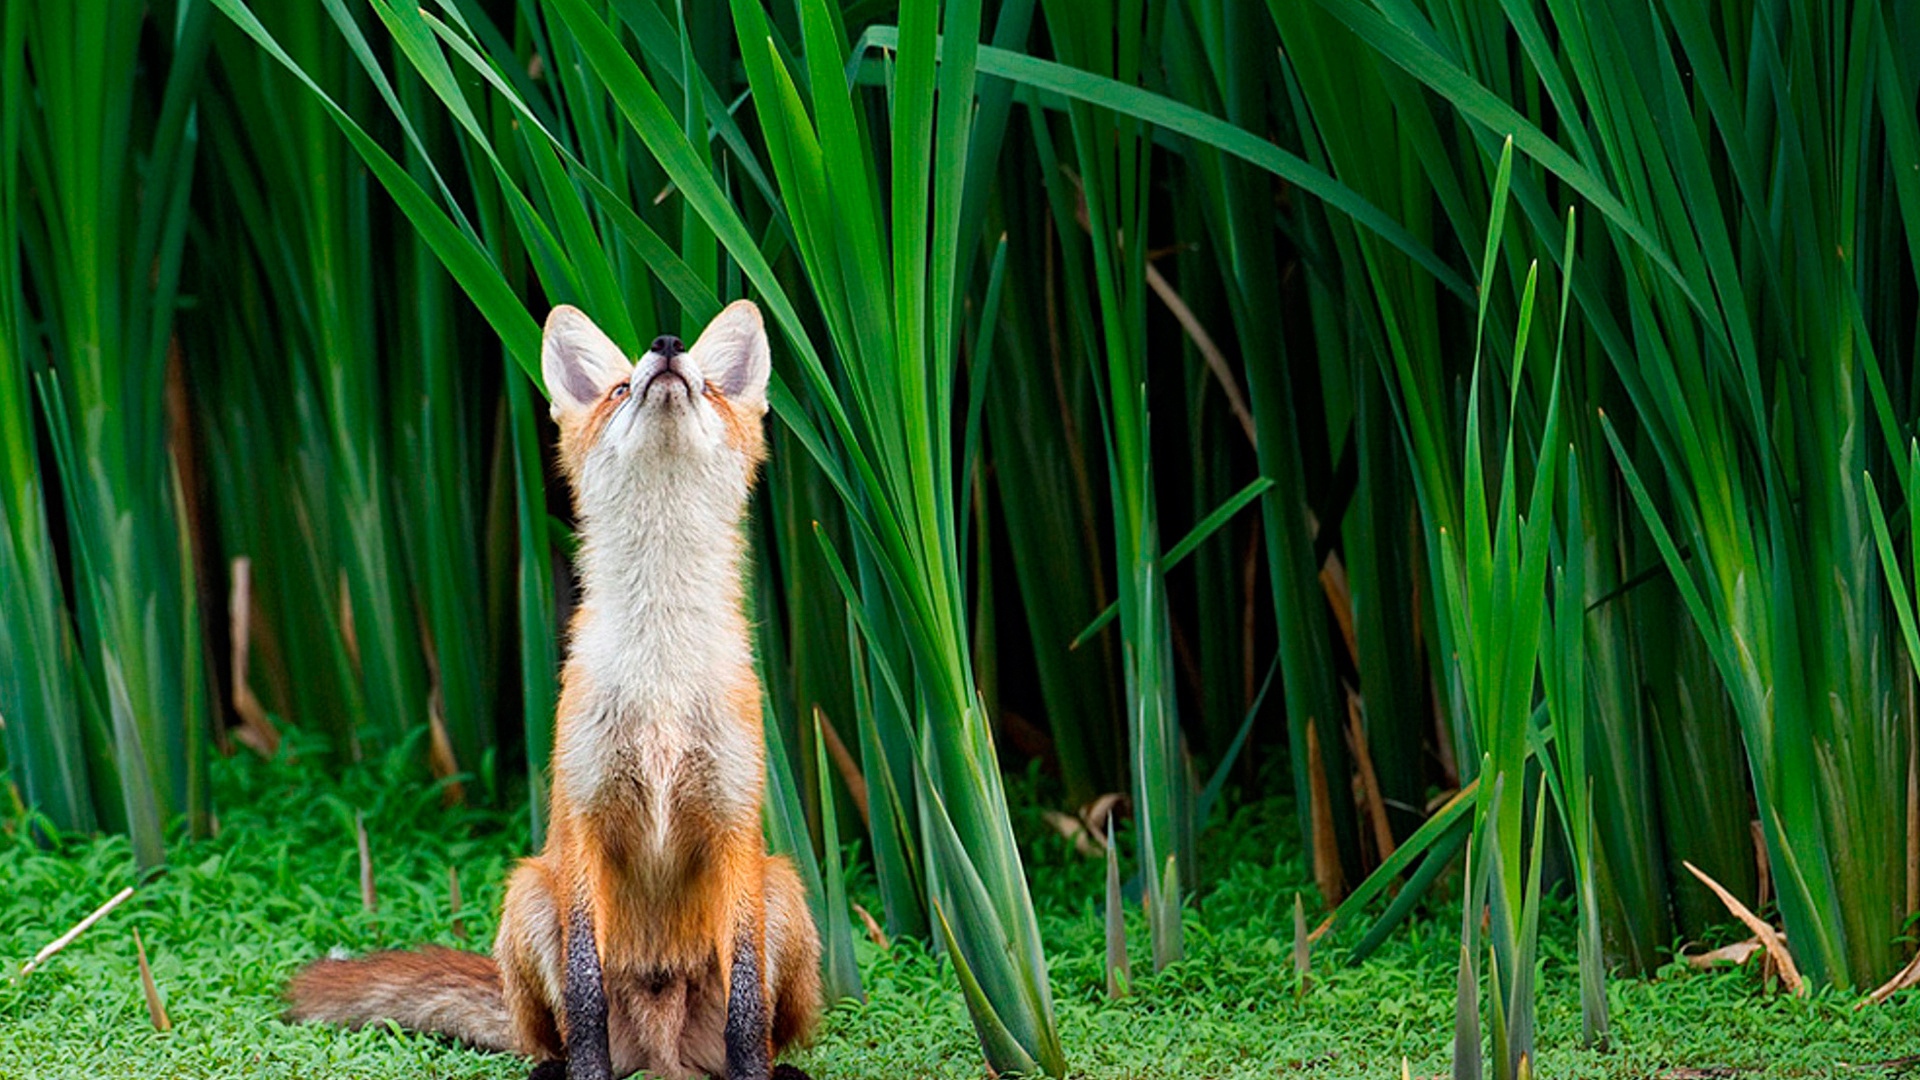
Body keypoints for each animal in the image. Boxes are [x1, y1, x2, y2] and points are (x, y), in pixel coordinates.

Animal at [286, 300, 823, 1080]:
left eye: (710, 386)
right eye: (621, 388)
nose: (667, 346)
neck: (659, 678)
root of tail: (660, 1048)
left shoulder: (733, 826)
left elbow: (747, 1008)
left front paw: (754, 1074)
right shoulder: (583, 821)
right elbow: (584, 991)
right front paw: (587, 1076)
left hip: (783, 890)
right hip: (529, 895)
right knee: (554, 1032)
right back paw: (555, 1066)